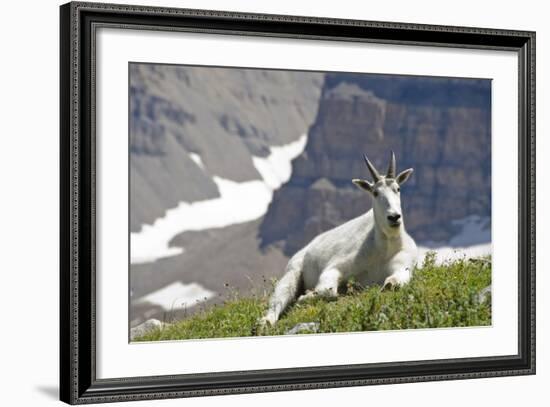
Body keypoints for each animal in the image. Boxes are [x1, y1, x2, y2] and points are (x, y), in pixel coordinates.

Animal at [262, 151, 418, 326]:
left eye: (397, 188)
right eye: (375, 192)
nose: (394, 217)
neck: (384, 247)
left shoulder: (404, 265)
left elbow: (394, 282)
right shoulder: (336, 266)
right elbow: (328, 290)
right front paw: (305, 297)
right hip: (293, 270)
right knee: (279, 298)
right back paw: (265, 322)